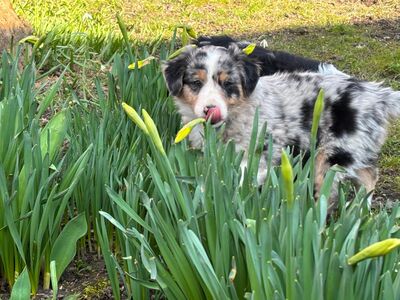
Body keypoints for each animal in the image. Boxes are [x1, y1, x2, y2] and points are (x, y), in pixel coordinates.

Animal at [162, 44, 400, 207]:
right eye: (196, 83)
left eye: (228, 84)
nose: (211, 110)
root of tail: (377, 95)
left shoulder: (261, 152)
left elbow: (240, 177)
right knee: (368, 173)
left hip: (335, 152)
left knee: (355, 181)